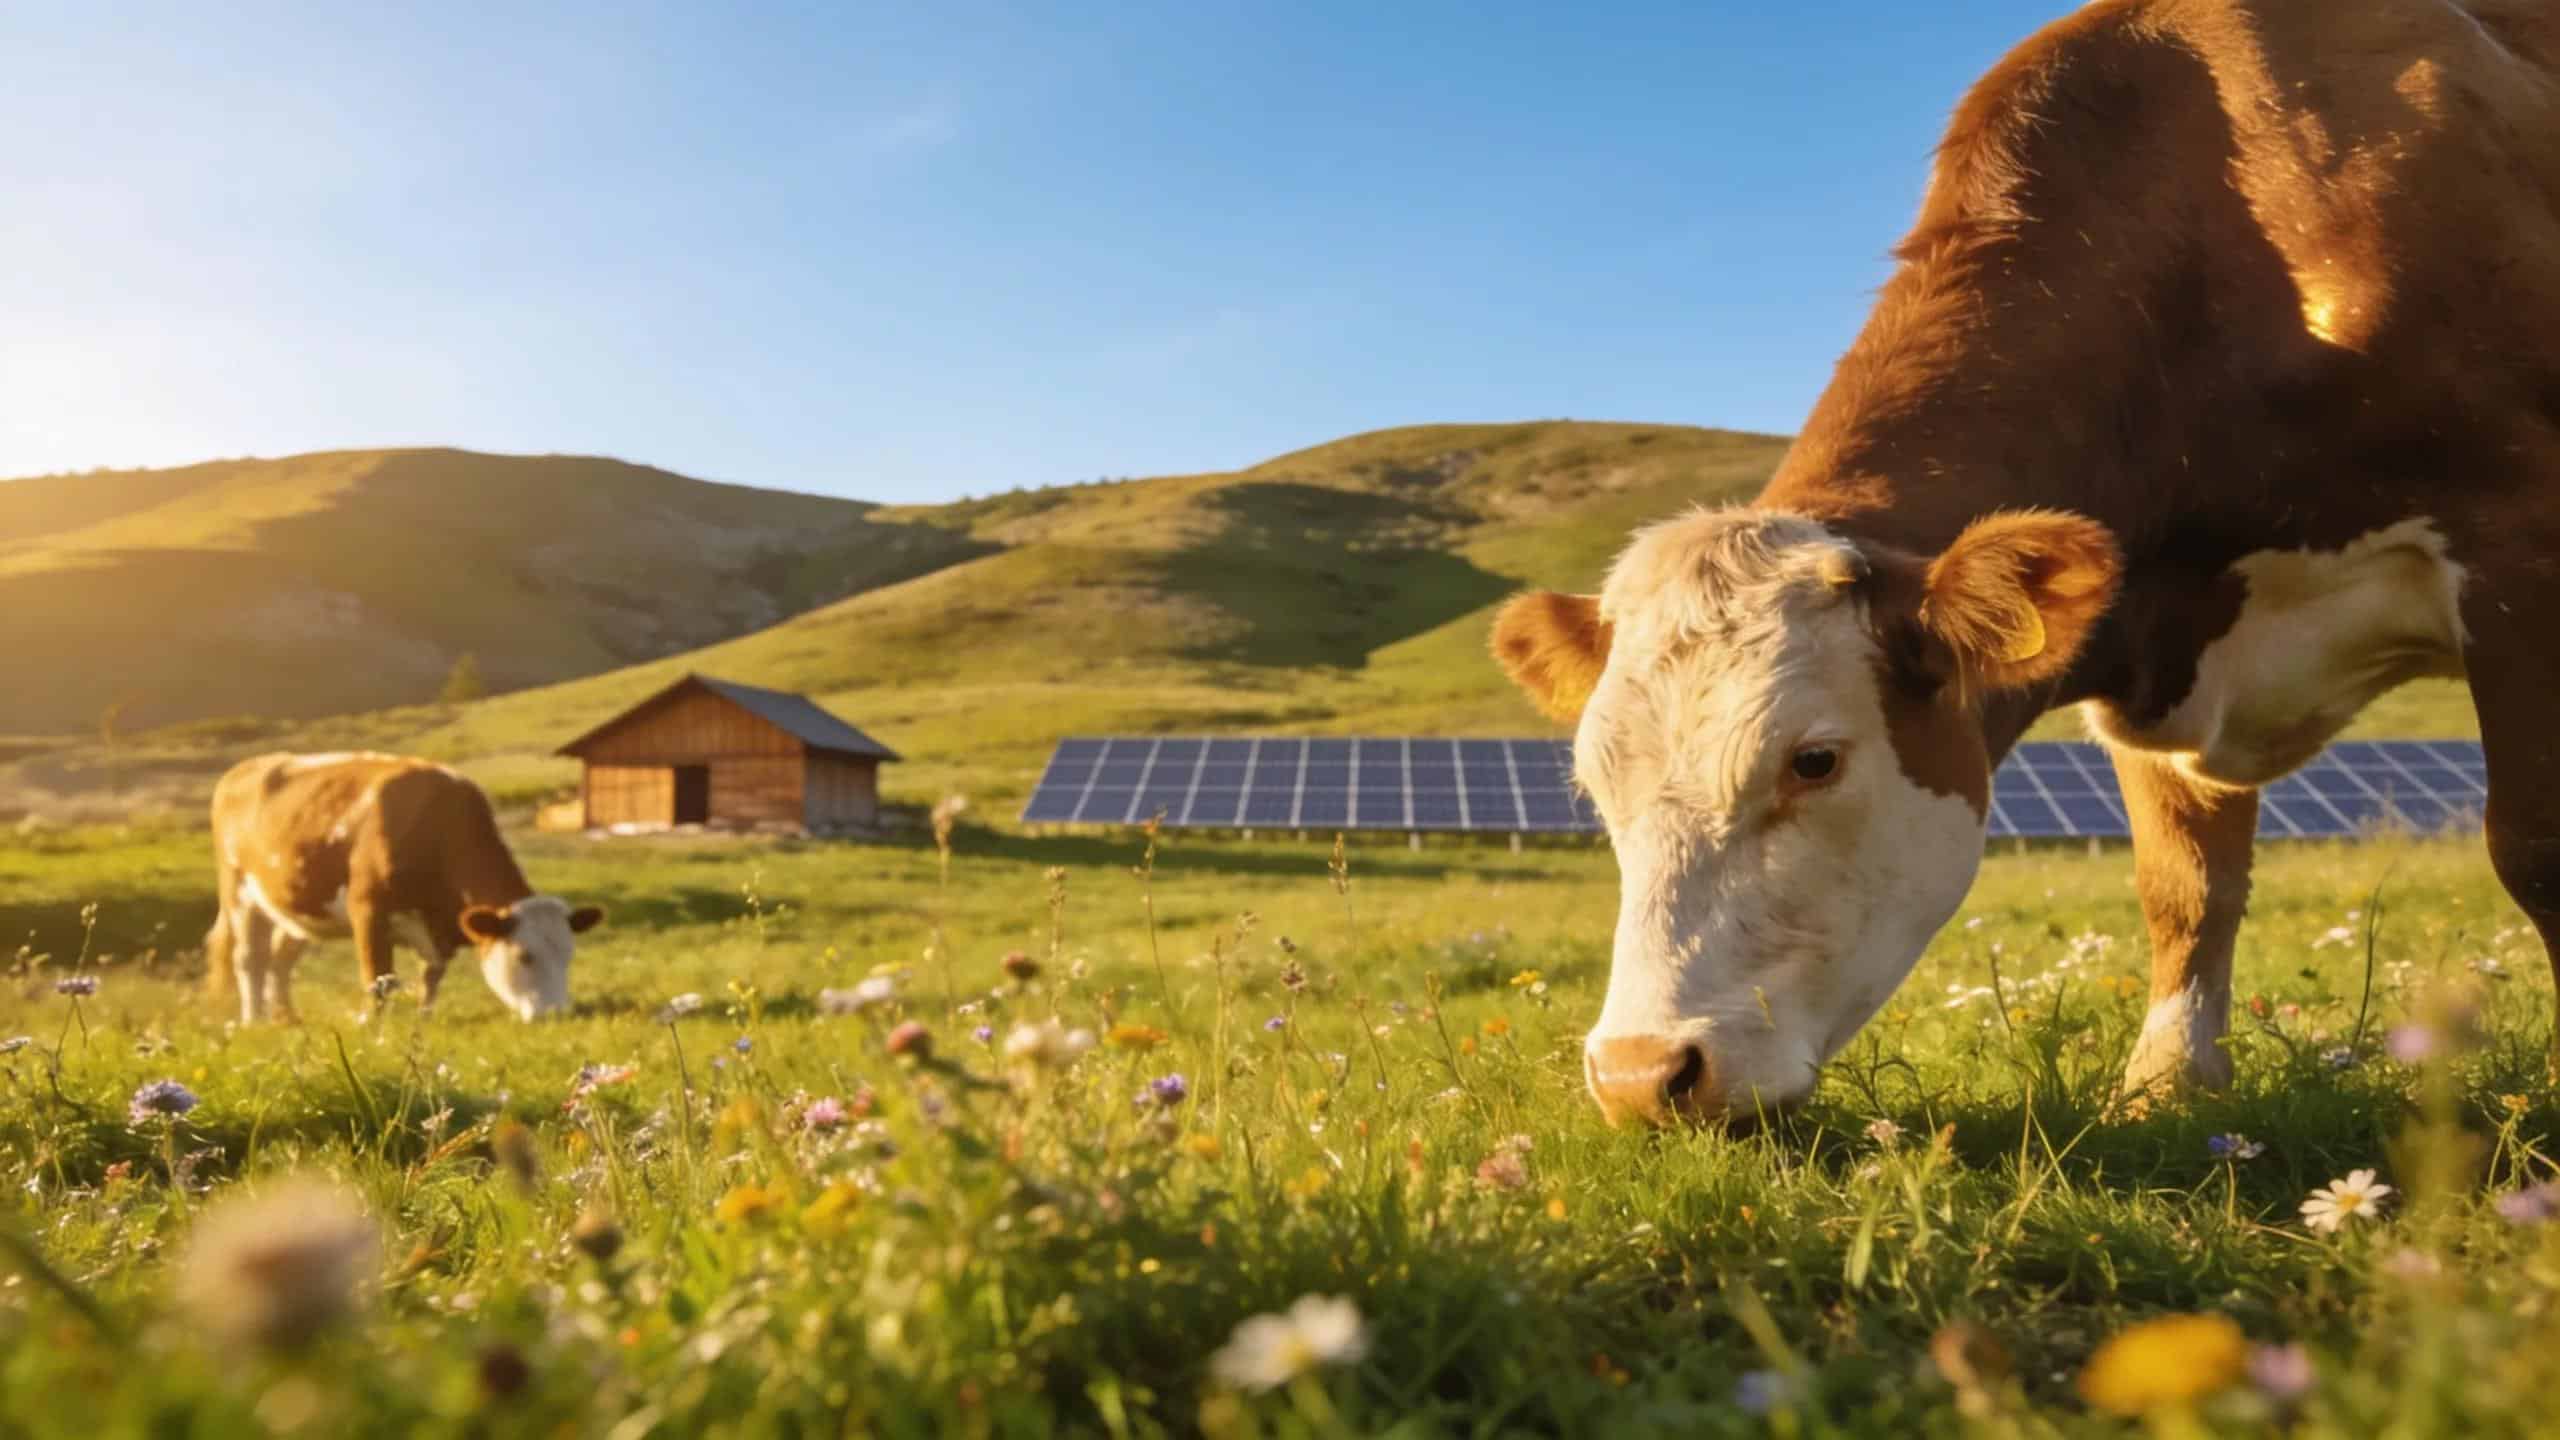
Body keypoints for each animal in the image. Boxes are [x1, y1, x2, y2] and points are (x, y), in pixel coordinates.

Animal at [205, 753, 603, 1022]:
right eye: (525, 956)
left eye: (569, 955)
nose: (558, 1013)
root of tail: (244, 768)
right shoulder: (368, 912)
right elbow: (379, 979)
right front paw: (372, 1028)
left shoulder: (437, 934)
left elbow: (430, 980)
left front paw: (422, 1021)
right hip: (238, 890)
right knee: (250, 959)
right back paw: (254, 1021)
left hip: (299, 906)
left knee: (280, 960)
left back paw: (287, 1019)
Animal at [1493, 0, 2560, 1125]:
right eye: (1593, 781)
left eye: (1813, 760)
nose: (1640, 1073)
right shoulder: (2150, 644)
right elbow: (2185, 887)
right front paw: (2169, 1086)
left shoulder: (2519, 552)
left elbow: (2536, 847)